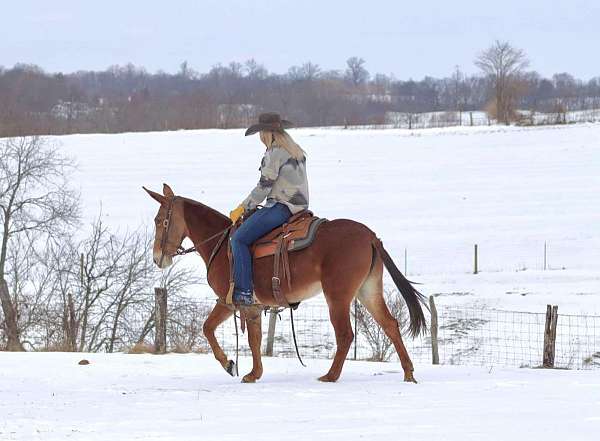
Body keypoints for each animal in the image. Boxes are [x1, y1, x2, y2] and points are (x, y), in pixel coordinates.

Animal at [145, 182, 426, 382]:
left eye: (159, 220)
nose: (157, 258)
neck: (222, 244)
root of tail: (370, 236)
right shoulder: (250, 306)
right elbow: (252, 338)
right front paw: (253, 373)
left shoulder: (230, 301)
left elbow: (210, 329)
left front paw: (229, 365)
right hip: (367, 290)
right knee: (390, 325)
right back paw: (408, 373)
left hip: (337, 295)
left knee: (346, 334)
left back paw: (330, 376)